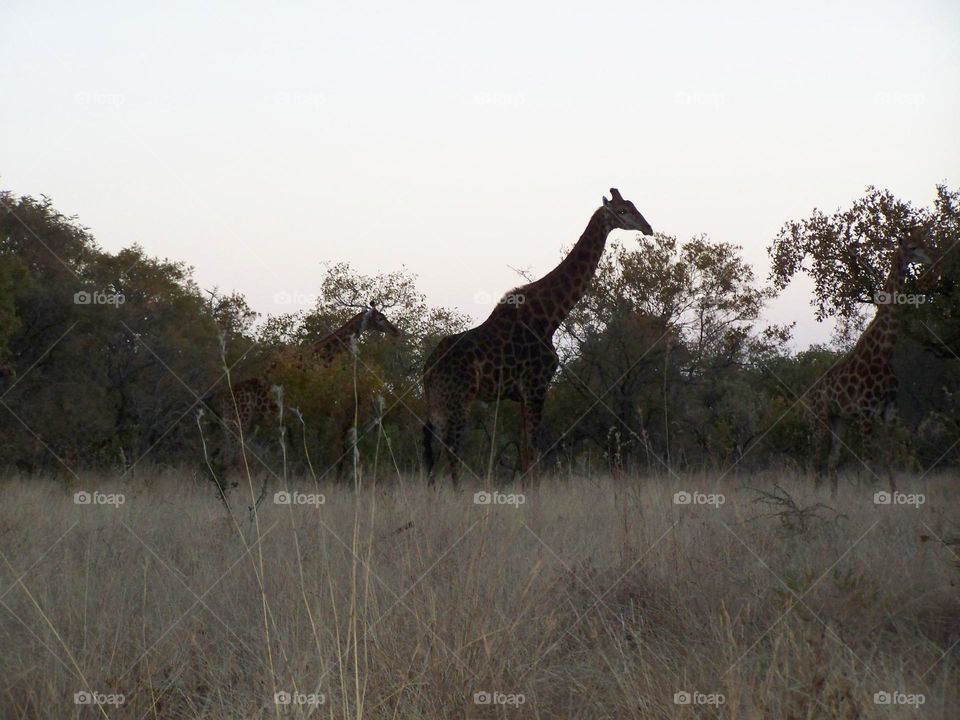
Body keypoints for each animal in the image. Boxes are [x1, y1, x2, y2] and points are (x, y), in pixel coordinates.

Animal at [213, 304, 400, 472]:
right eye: (380, 318)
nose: (396, 331)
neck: (322, 358)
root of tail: (222, 398)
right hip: (239, 421)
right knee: (227, 455)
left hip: (243, 424)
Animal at [422, 188, 653, 484]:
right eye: (623, 210)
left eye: (633, 206)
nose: (648, 228)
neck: (550, 318)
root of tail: (428, 369)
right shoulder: (536, 386)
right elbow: (532, 454)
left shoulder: (522, 395)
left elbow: (525, 454)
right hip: (459, 399)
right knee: (450, 451)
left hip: (438, 404)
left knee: (433, 452)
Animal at [808, 229, 933, 495]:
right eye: (913, 247)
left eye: (925, 242)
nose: (930, 257)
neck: (884, 353)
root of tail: (808, 397)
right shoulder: (866, 412)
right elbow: (869, 462)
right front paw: (870, 496)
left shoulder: (889, 410)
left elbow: (888, 457)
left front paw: (894, 495)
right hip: (819, 418)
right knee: (815, 461)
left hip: (840, 419)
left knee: (831, 460)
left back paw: (833, 500)